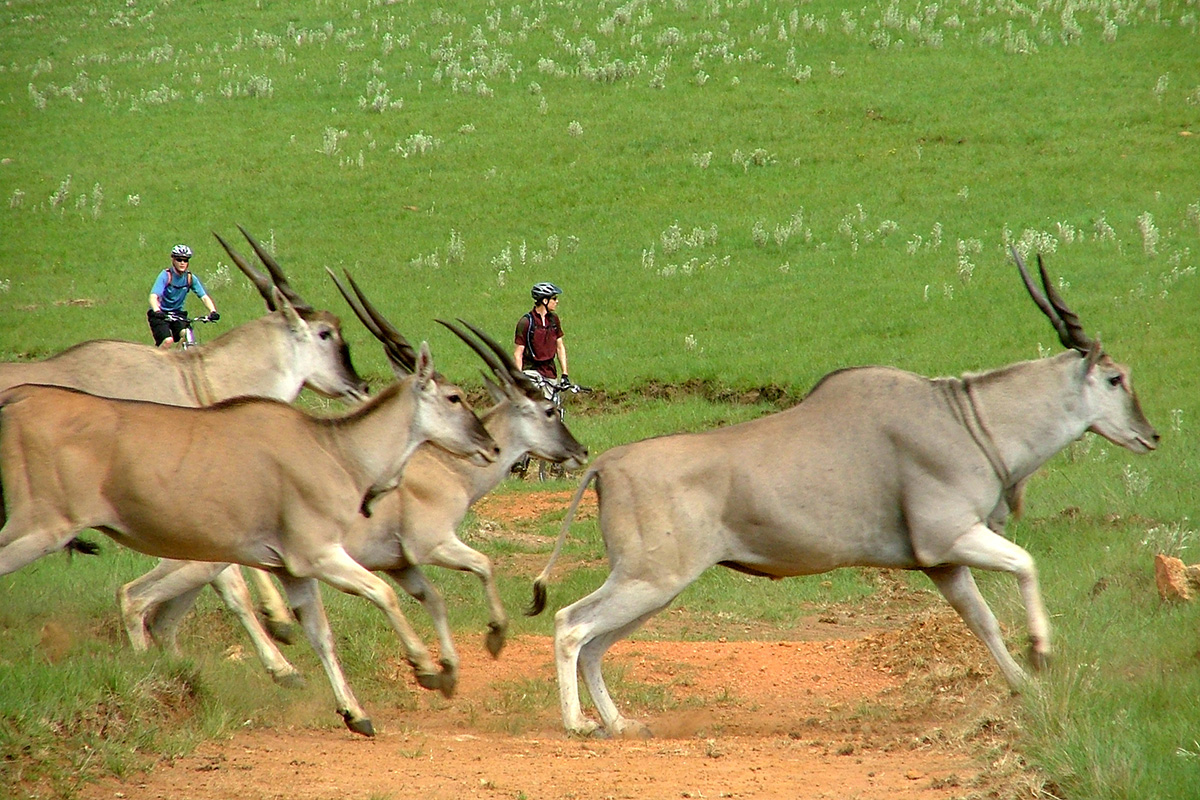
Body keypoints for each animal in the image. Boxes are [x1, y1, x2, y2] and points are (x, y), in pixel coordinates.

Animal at [113, 319, 590, 695]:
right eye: (549, 411)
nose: (580, 451)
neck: (447, 467)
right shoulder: (432, 545)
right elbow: (485, 565)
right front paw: (492, 637)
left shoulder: (398, 564)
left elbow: (432, 599)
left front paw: (445, 669)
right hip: (200, 565)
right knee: (138, 598)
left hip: (199, 567)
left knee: (168, 617)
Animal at [530, 255, 1156, 738]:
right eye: (1115, 378)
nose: (1150, 436)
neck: (967, 418)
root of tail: (607, 463)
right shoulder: (950, 539)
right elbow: (1025, 565)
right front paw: (1041, 654)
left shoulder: (945, 565)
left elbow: (982, 622)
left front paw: (1024, 687)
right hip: (650, 580)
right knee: (571, 625)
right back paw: (578, 724)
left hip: (655, 588)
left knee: (595, 643)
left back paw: (618, 724)